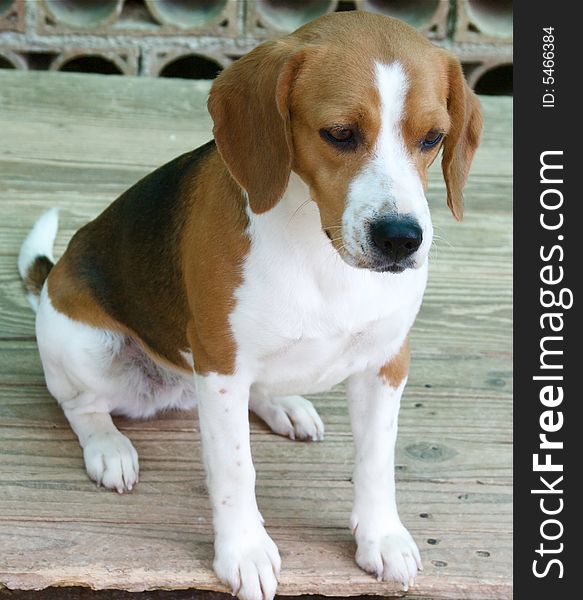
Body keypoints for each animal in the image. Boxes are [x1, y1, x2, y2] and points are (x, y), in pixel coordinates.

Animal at [18, 11, 484, 600]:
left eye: (432, 138)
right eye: (339, 134)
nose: (401, 239)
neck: (321, 251)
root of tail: (52, 277)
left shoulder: (388, 362)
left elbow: (377, 462)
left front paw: (382, 536)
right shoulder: (220, 365)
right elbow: (236, 471)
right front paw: (243, 551)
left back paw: (283, 405)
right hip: (88, 346)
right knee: (79, 404)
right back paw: (108, 447)